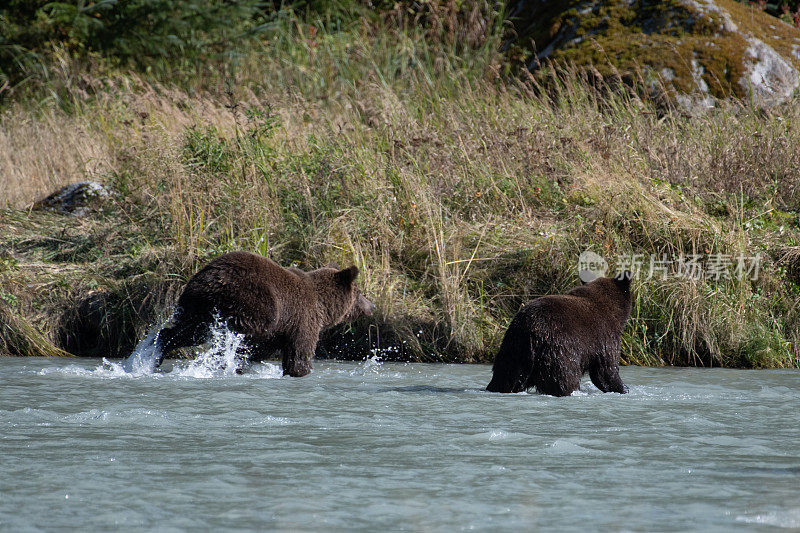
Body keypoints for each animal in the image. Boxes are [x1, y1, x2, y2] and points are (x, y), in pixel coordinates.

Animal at [155, 251, 376, 376]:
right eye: (359, 293)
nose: (372, 305)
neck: (323, 306)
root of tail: (208, 278)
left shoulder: (281, 329)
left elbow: (260, 350)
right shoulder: (302, 319)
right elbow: (299, 352)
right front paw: (300, 370)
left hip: (196, 307)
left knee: (186, 332)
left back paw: (156, 355)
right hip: (246, 304)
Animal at [484, 272, 636, 392]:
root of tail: (530, 331)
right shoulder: (604, 335)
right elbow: (606, 369)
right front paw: (623, 388)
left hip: (513, 349)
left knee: (505, 377)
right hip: (558, 348)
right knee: (564, 377)